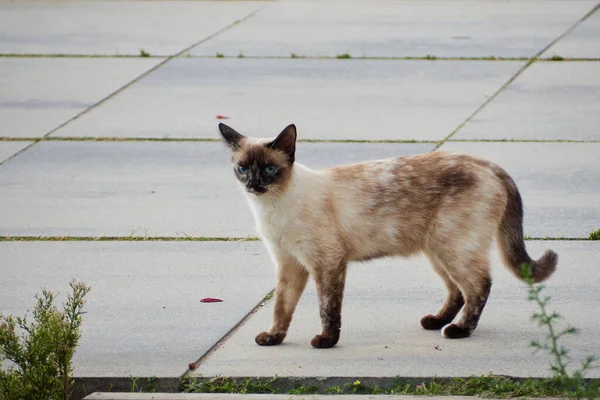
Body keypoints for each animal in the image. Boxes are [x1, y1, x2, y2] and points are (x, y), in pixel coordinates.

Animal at [217, 123, 556, 348]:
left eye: (269, 170)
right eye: (243, 169)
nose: (254, 185)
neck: (271, 207)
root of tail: (489, 164)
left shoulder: (327, 263)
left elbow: (328, 309)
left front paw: (326, 340)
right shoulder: (290, 266)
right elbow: (281, 307)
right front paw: (273, 338)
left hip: (452, 248)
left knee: (479, 286)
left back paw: (458, 331)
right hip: (438, 251)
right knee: (457, 290)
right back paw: (437, 321)